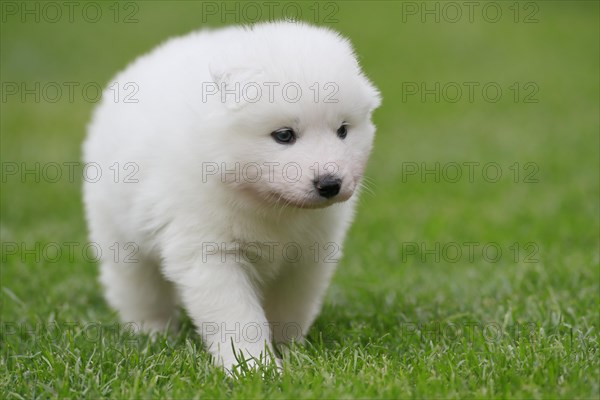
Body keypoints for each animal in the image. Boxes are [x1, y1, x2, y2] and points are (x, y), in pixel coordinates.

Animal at [81, 21, 380, 372]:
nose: (330, 184)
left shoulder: (308, 254)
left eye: (343, 130)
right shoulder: (210, 252)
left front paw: (290, 351)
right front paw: (254, 367)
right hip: (120, 234)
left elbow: (290, 306)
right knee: (137, 287)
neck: (267, 203)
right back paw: (151, 332)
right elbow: (236, 316)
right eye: (284, 135)